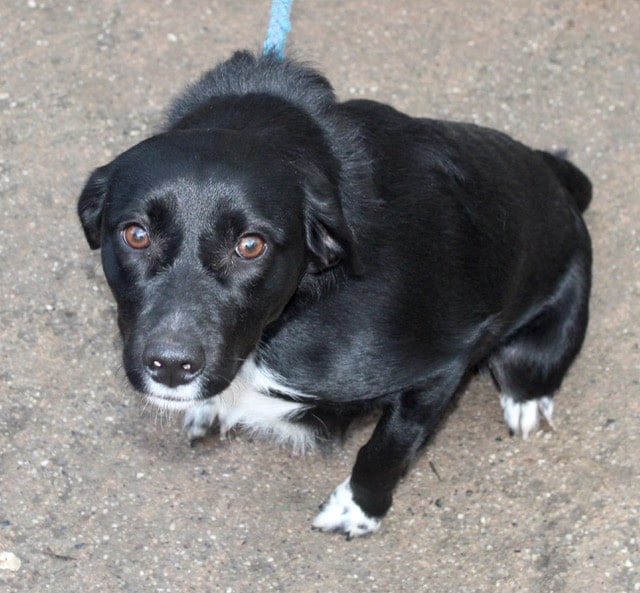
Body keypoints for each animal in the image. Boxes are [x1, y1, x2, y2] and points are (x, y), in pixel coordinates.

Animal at [78, 50, 592, 538]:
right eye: (136, 235)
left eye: (251, 245)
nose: (170, 366)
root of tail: (561, 186)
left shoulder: (442, 365)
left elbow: (387, 448)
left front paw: (358, 510)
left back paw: (526, 401)